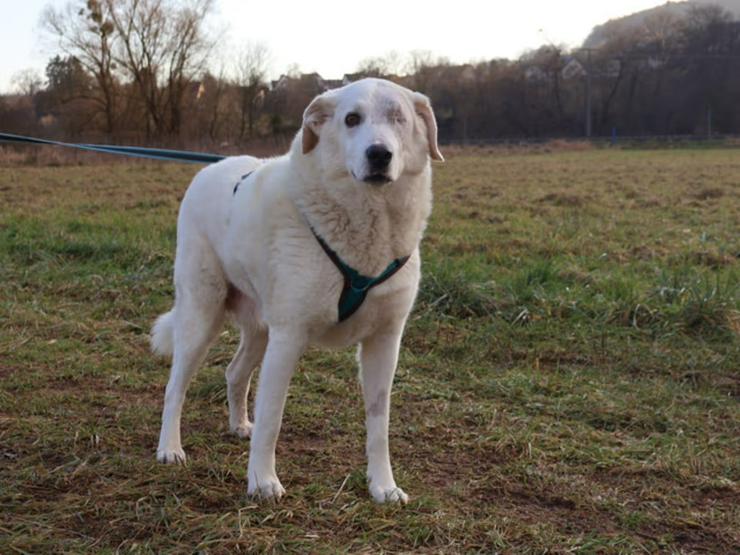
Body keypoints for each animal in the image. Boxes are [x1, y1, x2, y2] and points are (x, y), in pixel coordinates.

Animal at [149, 78, 440, 504]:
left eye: (398, 117)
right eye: (351, 119)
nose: (379, 154)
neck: (368, 223)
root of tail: (210, 169)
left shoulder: (384, 342)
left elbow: (379, 425)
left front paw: (383, 486)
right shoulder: (289, 338)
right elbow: (272, 417)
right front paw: (262, 482)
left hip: (260, 330)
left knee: (234, 373)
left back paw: (239, 425)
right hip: (201, 318)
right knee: (175, 388)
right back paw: (169, 448)